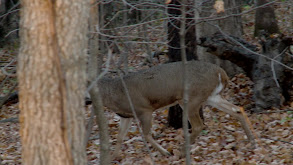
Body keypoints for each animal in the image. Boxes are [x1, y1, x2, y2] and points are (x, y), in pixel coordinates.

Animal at [97, 60, 254, 157]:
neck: (114, 94)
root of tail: (221, 73)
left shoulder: (144, 109)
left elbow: (146, 134)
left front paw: (166, 152)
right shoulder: (126, 116)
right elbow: (119, 137)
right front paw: (113, 158)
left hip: (191, 98)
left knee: (198, 125)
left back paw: (182, 150)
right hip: (211, 96)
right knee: (237, 110)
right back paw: (251, 139)